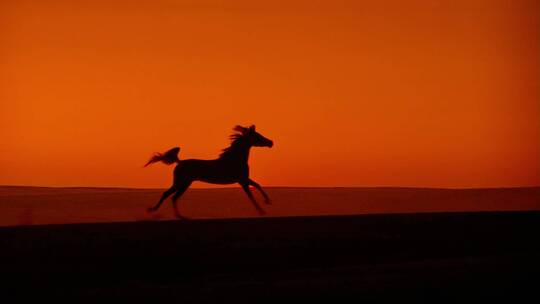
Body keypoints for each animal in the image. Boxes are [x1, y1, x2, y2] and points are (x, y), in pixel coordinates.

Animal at [143, 124, 272, 218]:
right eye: (258, 136)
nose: (271, 142)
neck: (235, 159)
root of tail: (179, 162)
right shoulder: (242, 181)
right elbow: (251, 195)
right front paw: (262, 211)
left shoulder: (244, 179)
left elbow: (258, 185)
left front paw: (267, 201)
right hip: (182, 183)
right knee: (172, 196)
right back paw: (178, 216)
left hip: (181, 183)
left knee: (168, 195)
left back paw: (155, 210)